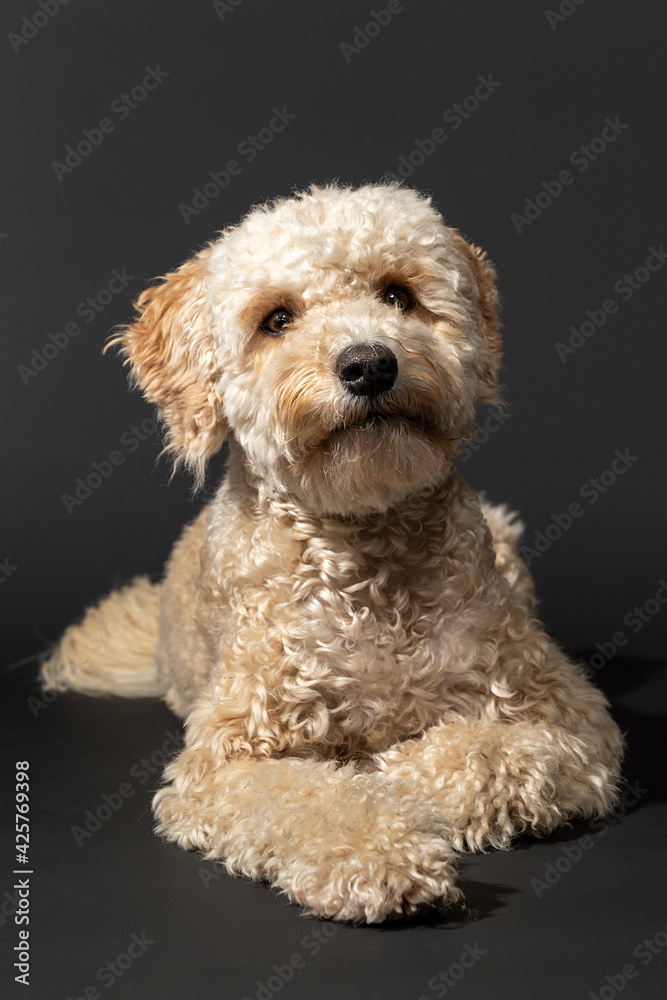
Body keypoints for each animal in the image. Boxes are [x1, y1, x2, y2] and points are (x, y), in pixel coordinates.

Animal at [41, 182, 628, 920]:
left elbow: (495, 752)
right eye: (277, 319)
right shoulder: (225, 761)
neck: (367, 554)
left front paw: (398, 773)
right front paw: (378, 853)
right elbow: (309, 797)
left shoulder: (567, 713)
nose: (369, 363)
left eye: (398, 295)